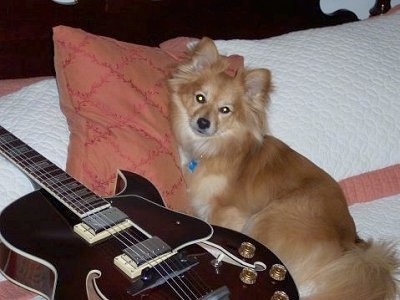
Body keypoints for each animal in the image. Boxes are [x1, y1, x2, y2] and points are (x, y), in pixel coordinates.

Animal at [167, 37, 398, 300]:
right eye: (200, 98)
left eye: (225, 110)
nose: (203, 122)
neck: (214, 148)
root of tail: (350, 246)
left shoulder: (229, 211)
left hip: (268, 218)